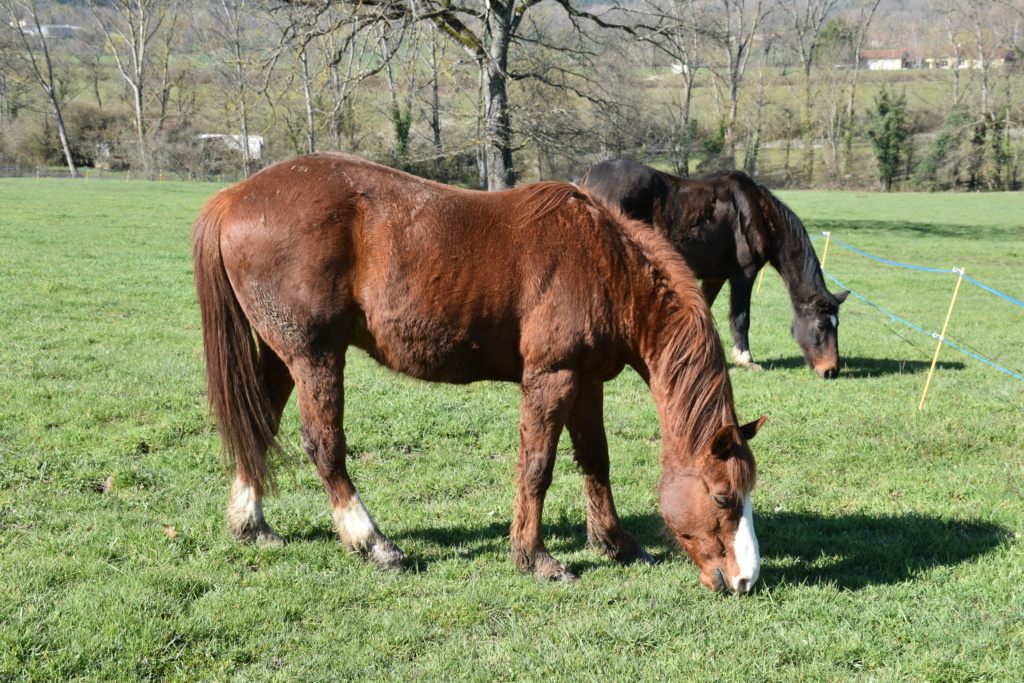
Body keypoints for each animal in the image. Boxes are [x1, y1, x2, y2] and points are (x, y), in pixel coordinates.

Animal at [193, 152, 770, 589]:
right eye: (723, 496)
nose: (745, 580)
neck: (605, 267)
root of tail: (235, 196)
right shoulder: (551, 379)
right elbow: (537, 467)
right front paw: (535, 558)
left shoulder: (586, 382)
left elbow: (595, 461)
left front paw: (616, 543)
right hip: (315, 356)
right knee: (323, 446)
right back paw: (374, 543)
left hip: (282, 355)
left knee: (259, 424)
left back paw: (250, 524)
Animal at [577, 160, 847, 378]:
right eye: (821, 325)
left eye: (837, 325)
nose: (831, 371)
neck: (759, 212)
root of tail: (585, 178)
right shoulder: (743, 275)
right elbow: (741, 318)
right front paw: (745, 360)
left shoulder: (715, 278)